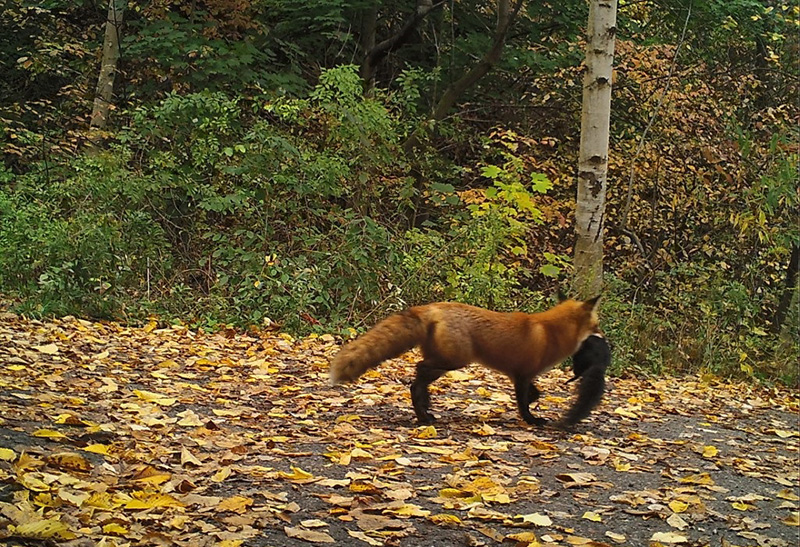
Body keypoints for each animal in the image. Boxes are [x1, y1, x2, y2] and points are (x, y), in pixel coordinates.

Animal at [328, 298, 596, 426]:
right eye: (596, 324)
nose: (601, 334)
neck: (552, 331)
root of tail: (431, 307)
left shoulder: (523, 374)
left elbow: (534, 394)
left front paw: (533, 403)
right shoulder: (522, 374)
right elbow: (523, 403)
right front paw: (531, 420)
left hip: (445, 362)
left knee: (418, 380)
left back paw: (424, 412)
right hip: (454, 361)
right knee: (418, 372)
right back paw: (424, 411)